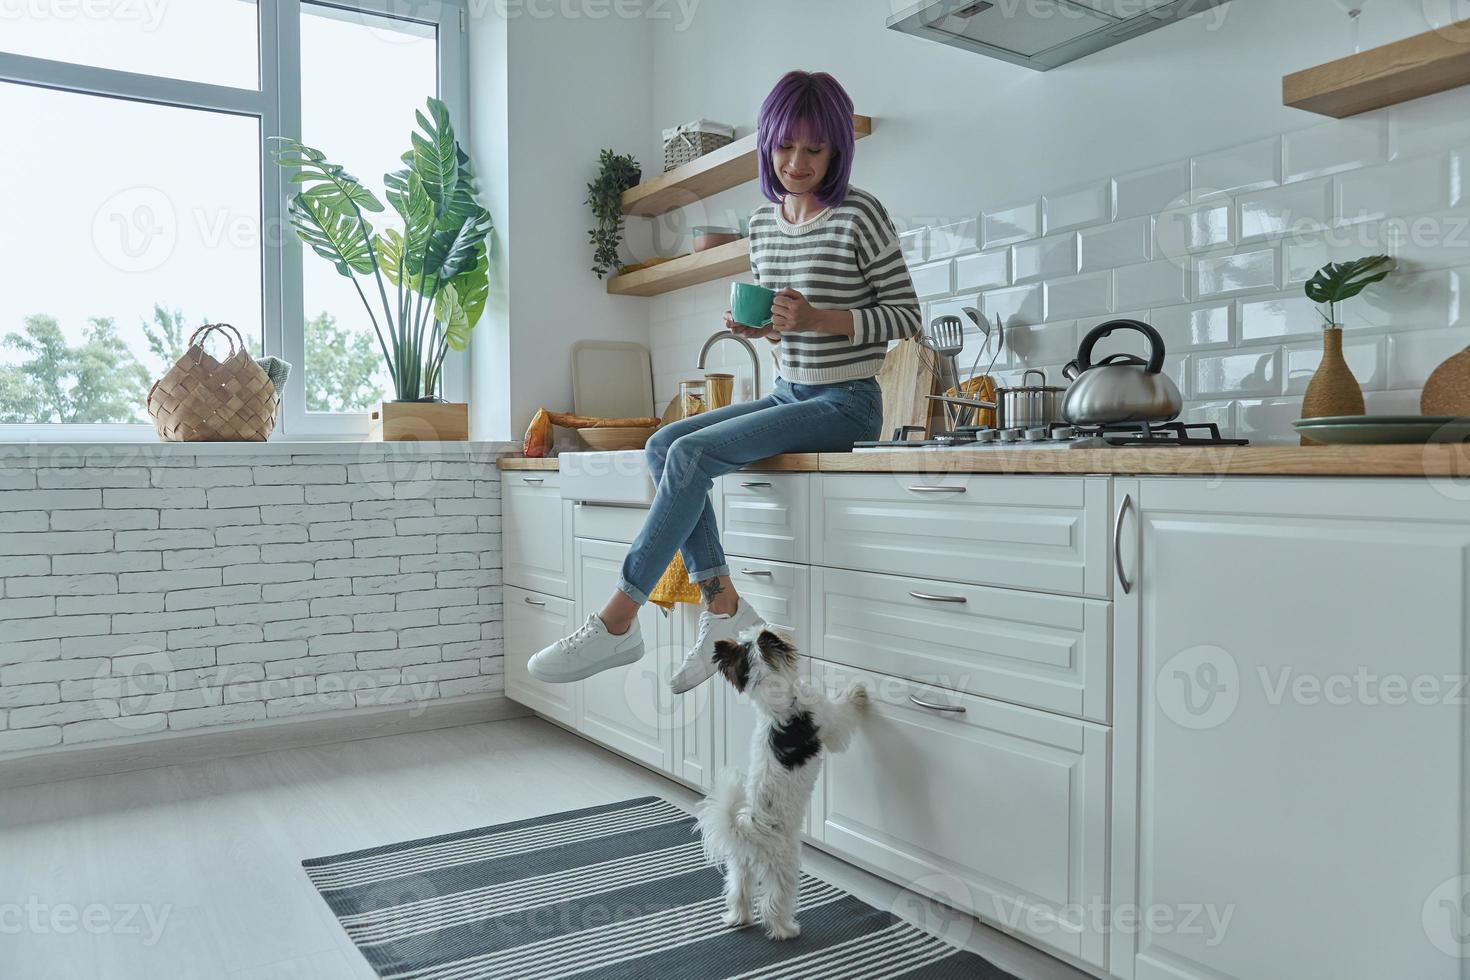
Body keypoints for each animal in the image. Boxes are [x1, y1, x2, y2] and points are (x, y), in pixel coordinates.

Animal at [693, 628, 864, 940]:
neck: (776, 701)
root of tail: (747, 830)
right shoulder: (829, 721)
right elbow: (842, 712)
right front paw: (859, 690)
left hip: (740, 866)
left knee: (739, 892)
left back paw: (737, 919)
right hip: (785, 865)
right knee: (774, 901)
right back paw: (786, 930)